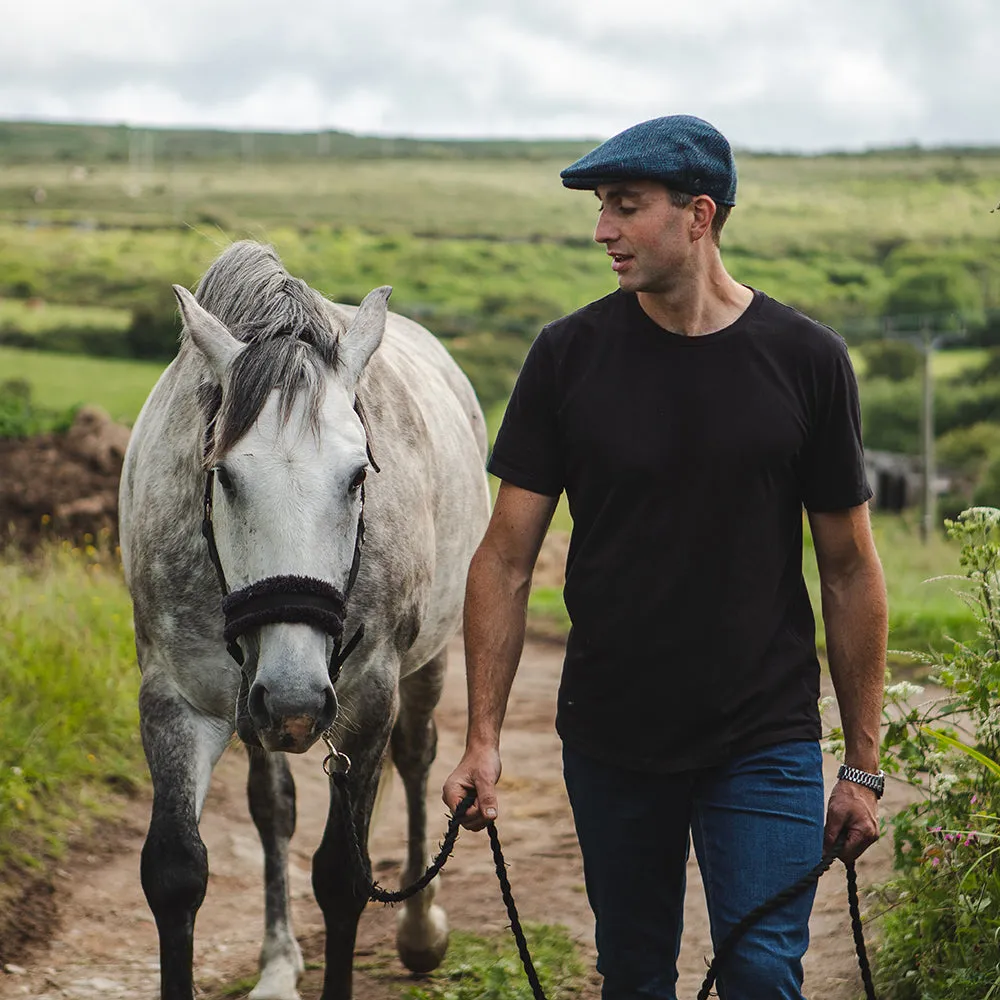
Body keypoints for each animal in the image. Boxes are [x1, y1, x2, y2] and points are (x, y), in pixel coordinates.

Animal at [116, 242, 488, 1000]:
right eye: (224, 475)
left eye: (358, 475)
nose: (295, 699)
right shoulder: (175, 697)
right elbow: (176, 872)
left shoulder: (368, 698)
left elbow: (343, 877)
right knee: (274, 805)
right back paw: (279, 962)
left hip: (424, 663)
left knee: (418, 755)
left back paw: (421, 932)